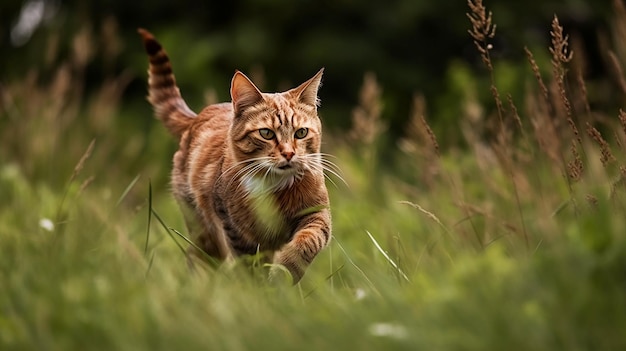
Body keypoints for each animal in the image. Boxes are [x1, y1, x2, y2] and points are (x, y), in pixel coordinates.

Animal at [137, 28, 332, 284]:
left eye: (301, 133)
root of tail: (197, 117)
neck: (276, 188)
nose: (289, 153)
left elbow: (310, 240)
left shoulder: (317, 213)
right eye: (266, 133)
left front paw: (286, 272)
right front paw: (258, 287)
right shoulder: (236, 230)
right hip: (204, 230)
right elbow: (251, 264)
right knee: (200, 260)